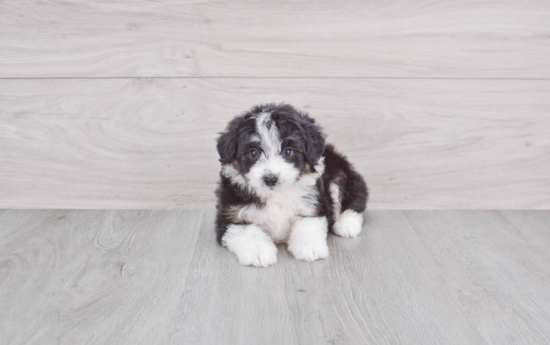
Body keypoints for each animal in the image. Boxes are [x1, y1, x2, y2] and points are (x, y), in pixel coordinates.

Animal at [218, 103, 368, 268]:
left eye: (288, 152)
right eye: (253, 152)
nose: (270, 179)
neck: (275, 195)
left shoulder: (312, 205)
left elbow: (307, 224)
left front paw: (310, 247)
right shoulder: (230, 215)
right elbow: (246, 231)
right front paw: (258, 251)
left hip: (340, 174)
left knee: (354, 199)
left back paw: (346, 224)